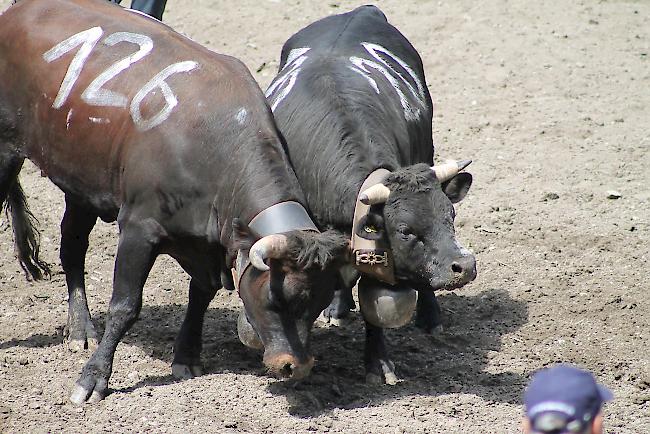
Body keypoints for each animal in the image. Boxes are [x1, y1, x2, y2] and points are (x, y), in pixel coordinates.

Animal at [0, 0, 346, 406]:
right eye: (277, 301)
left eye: (319, 303)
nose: (297, 366)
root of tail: (18, 11)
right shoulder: (139, 228)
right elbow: (125, 306)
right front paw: (93, 378)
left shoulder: (210, 244)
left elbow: (201, 294)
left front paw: (187, 356)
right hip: (6, 150)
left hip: (81, 181)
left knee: (72, 247)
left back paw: (80, 328)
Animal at [268, 4, 476, 384]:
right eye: (405, 230)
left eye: (451, 216)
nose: (464, 266)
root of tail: (362, 10)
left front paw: (378, 363)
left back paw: (431, 317)